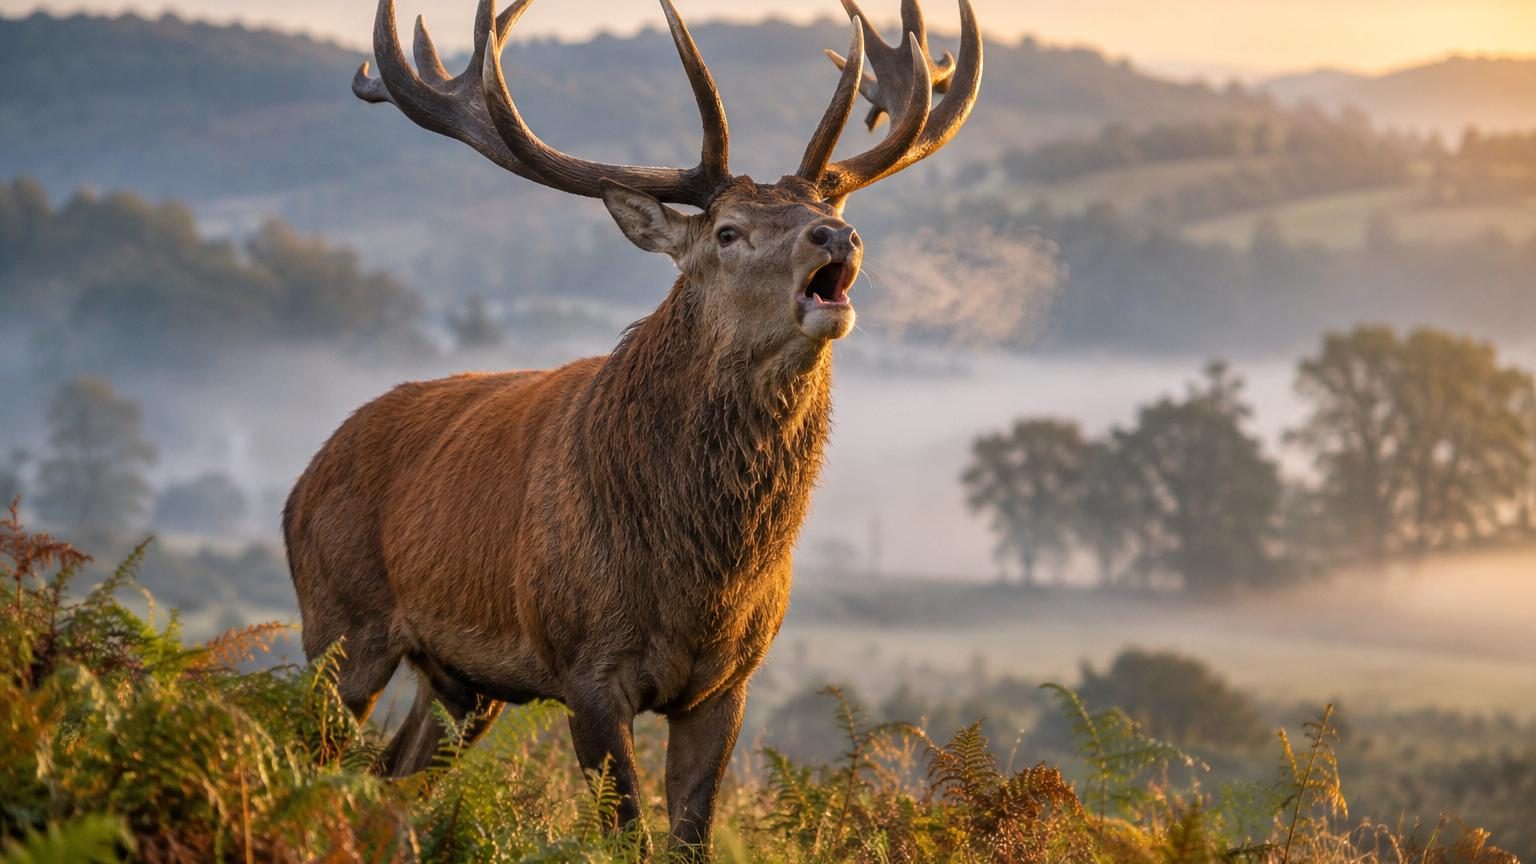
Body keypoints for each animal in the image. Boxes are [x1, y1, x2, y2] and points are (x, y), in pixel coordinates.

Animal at [283, 0, 980, 854]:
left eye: (831, 211)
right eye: (727, 232)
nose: (837, 239)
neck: (700, 580)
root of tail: (300, 484)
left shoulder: (727, 681)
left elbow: (691, 835)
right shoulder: (585, 668)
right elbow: (626, 834)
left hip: (461, 684)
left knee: (389, 777)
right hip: (339, 623)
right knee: (304, 750)